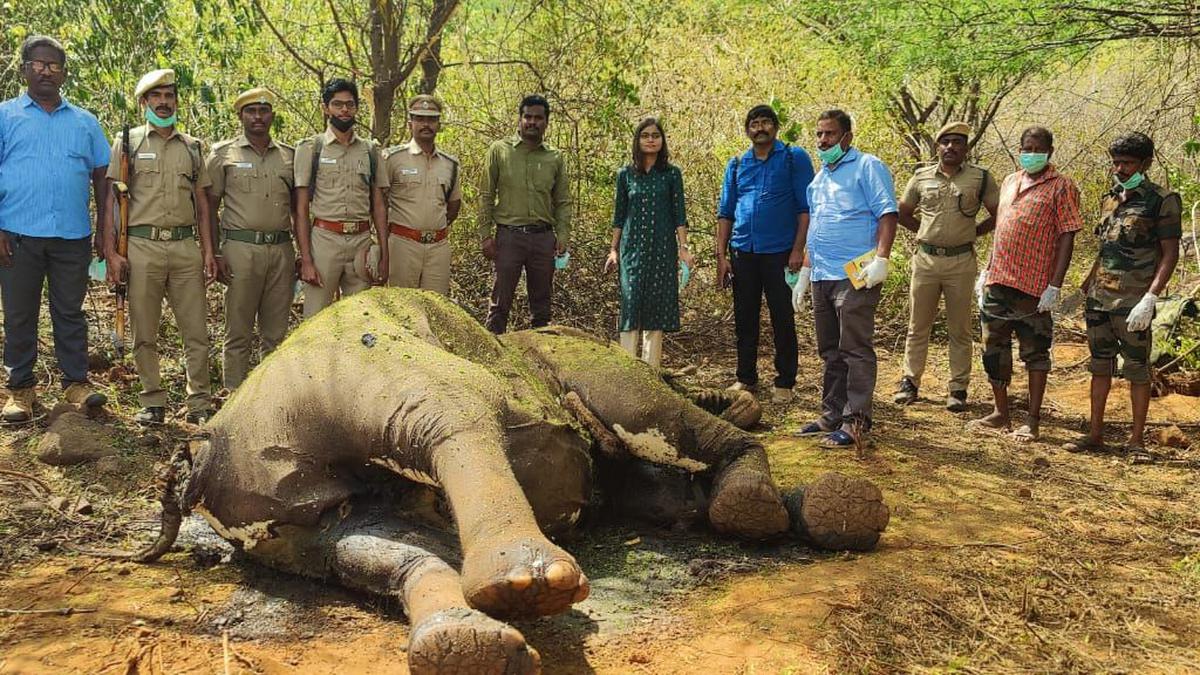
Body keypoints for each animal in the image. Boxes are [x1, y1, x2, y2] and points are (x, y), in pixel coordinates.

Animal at [131, 289, 888, 672]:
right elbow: (379, 545)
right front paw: (468, 647)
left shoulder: (368, 373)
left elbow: (456, 414)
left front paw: (525, 587)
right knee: (663, 490)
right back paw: (820, 512)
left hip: (585, 364)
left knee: (658, 417)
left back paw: (772, 504)